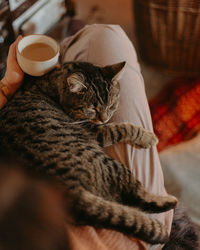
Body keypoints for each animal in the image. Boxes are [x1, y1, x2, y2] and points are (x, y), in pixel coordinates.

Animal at [0, 61, 177, 244]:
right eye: (92, 108)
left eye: (111, 105)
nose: (105, 118)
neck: (55, 82)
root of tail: (70, 192)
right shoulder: (96, 131)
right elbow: (123, 128)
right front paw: (148, 137)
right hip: (112, 165)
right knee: (136, 195)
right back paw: (169, 200)